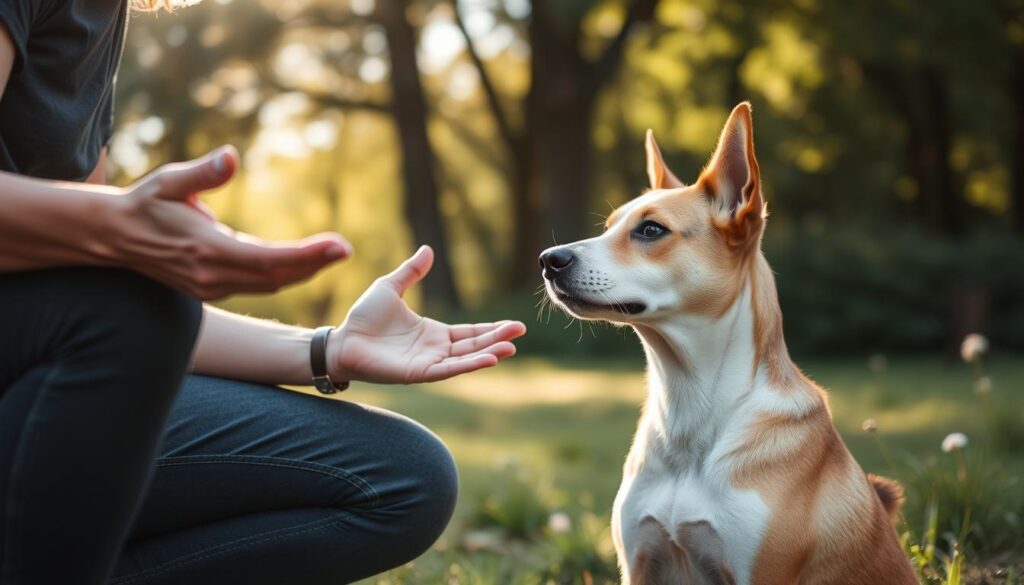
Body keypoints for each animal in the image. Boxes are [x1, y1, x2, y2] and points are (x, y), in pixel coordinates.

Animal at [540, 102, 917, 581]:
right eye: (608, 228)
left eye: (650, 230)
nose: (548, 260)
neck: (689, 412)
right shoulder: (640, 561)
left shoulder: (759, 571)